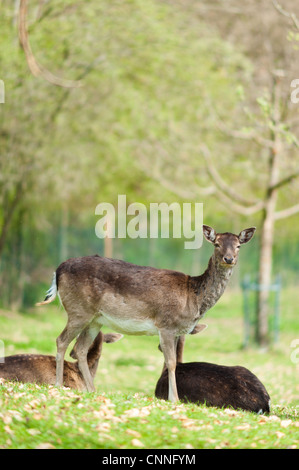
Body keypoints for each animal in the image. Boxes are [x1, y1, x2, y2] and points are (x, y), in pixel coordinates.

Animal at [35, 226, 255, 402]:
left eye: (238, 246)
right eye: (216, 244)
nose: (229, 259)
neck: (193, 299)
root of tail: (58, 270)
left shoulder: (177, 331)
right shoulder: (166, 324)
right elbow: (171, 362)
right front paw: (174, 399)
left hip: (95, 319)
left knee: (80, 348)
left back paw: (92, 389)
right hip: (78, 310)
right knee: (61, 340)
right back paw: (58, 385)